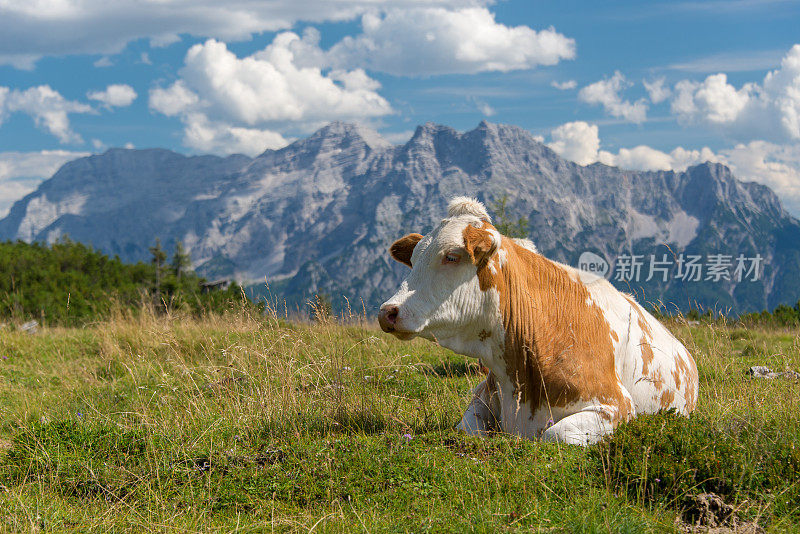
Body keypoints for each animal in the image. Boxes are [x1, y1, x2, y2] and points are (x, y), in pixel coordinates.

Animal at [378, 197, 696, 448]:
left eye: (452, 256)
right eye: (414, 258)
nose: (388, 311)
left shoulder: (616, 405)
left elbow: (554, 436)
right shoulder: (483, 394)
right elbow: (467, 430)